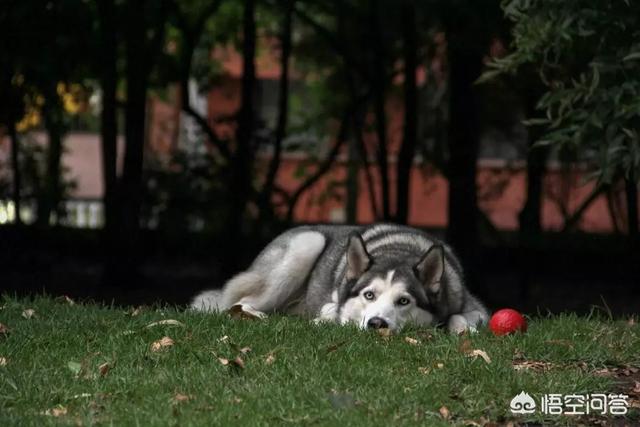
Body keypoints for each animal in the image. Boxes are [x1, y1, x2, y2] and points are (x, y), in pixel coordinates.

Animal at [191, 224, 490, 334]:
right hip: (305, 243)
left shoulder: (475, 308)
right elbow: (333, 311)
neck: (400, 250)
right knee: (238, 302)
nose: (376, 324)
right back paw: (258, 315)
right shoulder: (335, 301)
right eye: (369, 295)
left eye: (404, 301)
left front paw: (462, 330)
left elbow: (459, 316)